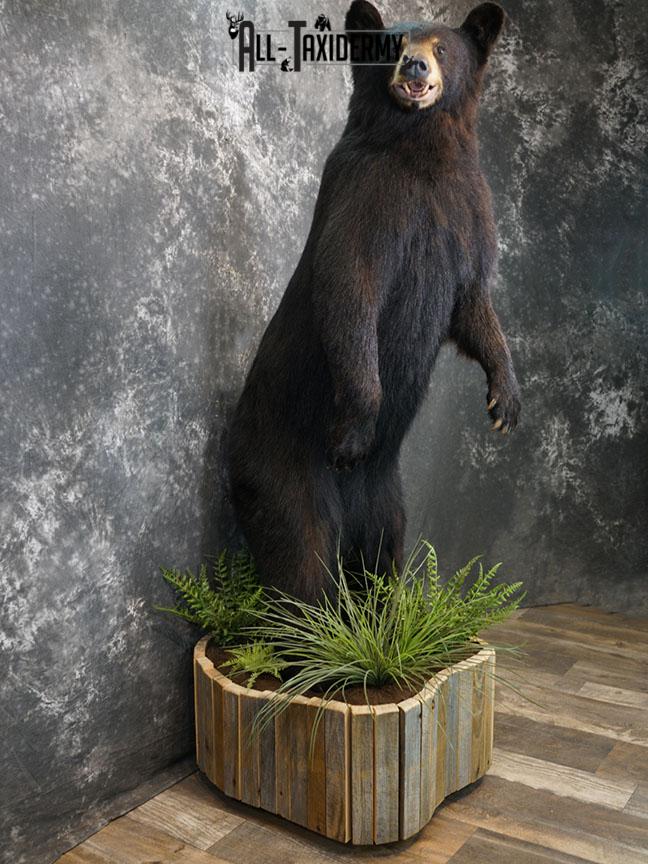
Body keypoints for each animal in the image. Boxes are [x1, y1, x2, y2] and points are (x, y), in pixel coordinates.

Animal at [227, 1, 521, 604]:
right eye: (393, 45)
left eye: (441, 47)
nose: (414, 67)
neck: (422, 151)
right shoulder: (366, 197)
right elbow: (350, 291)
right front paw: (356, 428)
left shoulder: (468, 208)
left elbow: (472, 301)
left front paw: (505, 399)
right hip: (283, 467)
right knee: (301, 552)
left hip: (386, 495)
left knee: (382, 548)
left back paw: (381, 612)